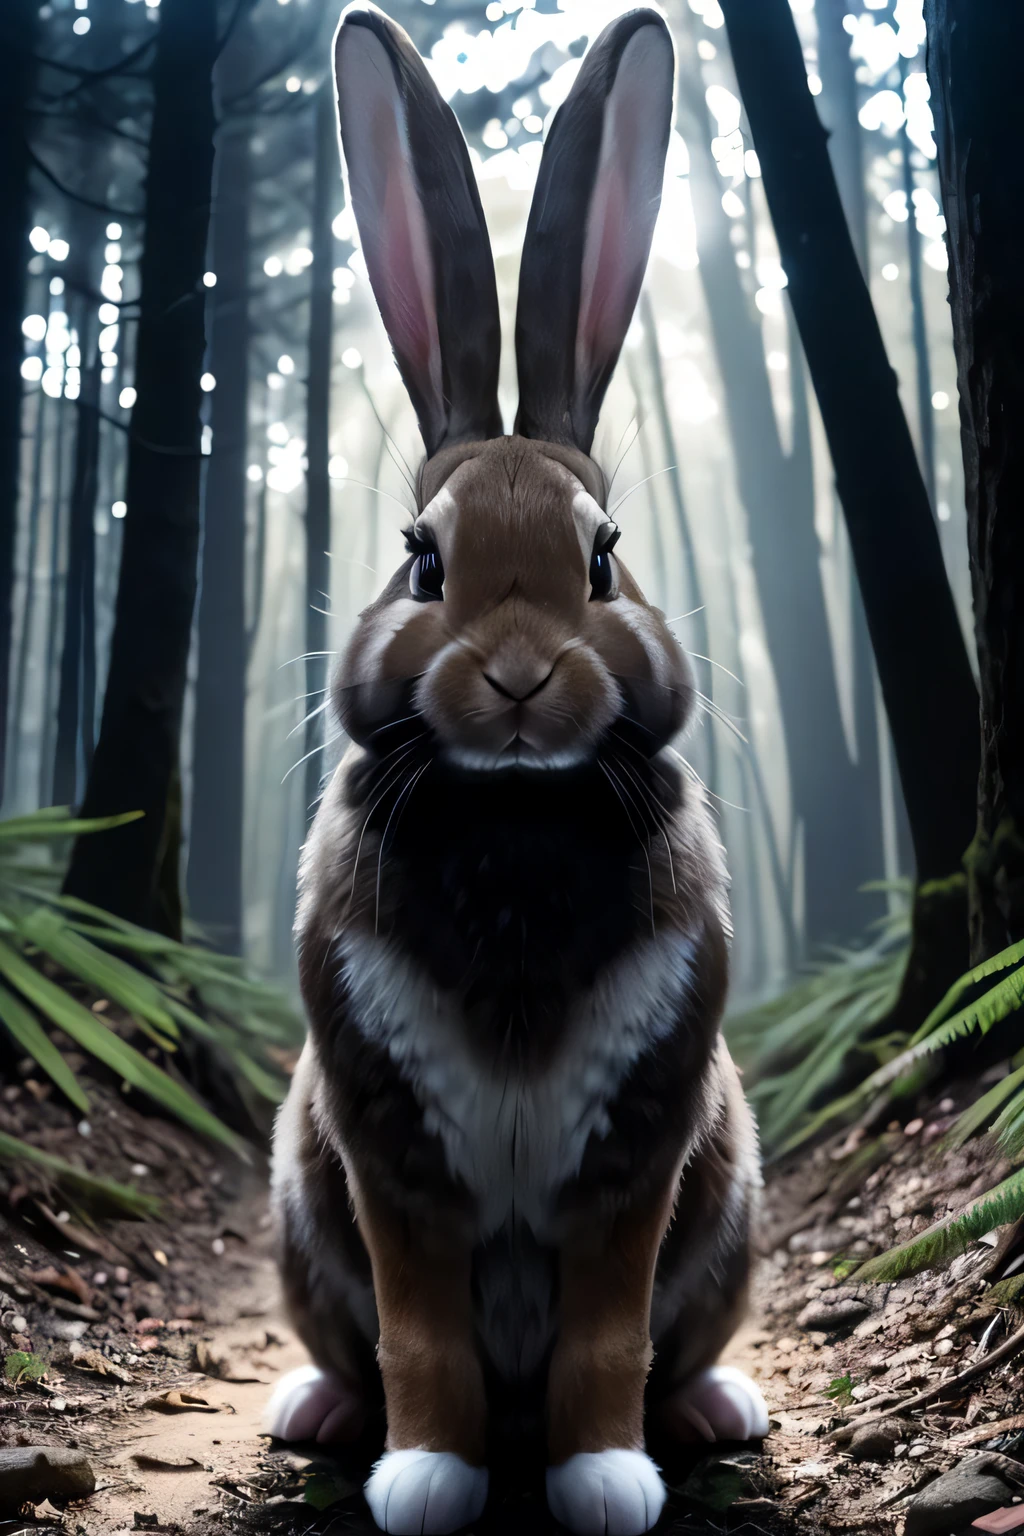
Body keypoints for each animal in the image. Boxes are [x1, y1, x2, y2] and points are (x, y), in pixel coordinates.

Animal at [264, 6, 767, 1529]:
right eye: (421, 559)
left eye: (602, 555)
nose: (521, 677)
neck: (515, 816)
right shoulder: (389, 1149)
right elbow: (420, 1330)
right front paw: (428, 1480)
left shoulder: (638, 1146)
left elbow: (608, 1329)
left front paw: (603, 1482)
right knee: (352, 1349)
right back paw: (319, 1412)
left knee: (676, 1348)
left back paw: (713, 1409)